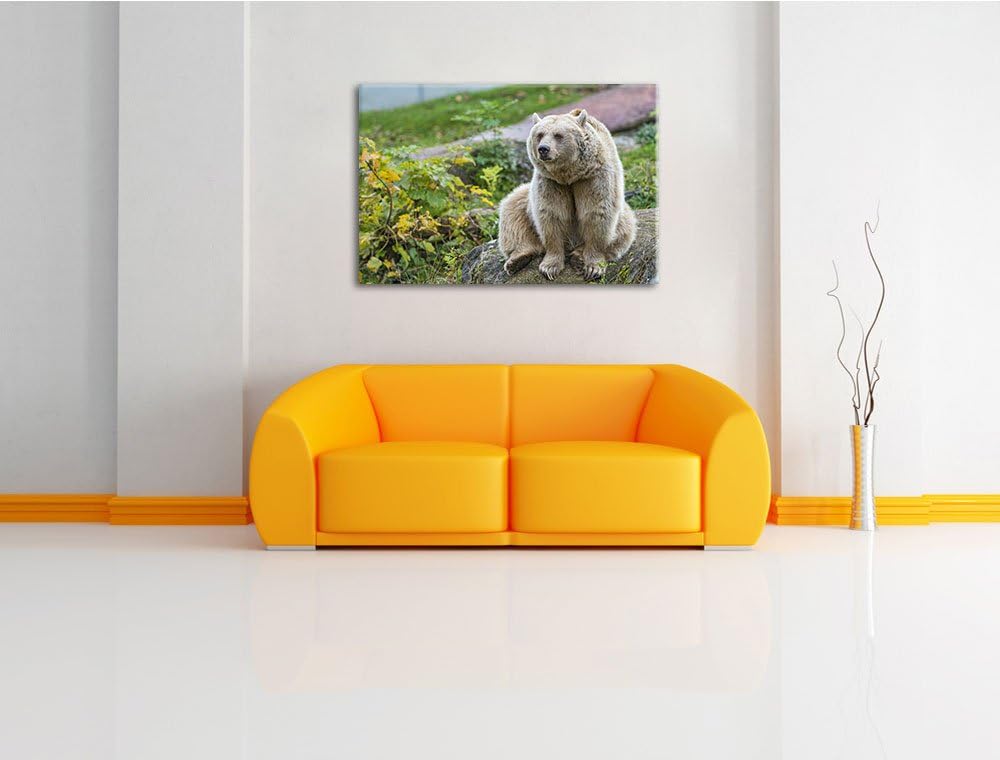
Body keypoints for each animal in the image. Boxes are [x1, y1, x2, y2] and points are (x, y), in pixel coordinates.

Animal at [497, 108, 637, 281]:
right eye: (540, 135)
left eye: (558, 135)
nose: (543, 149)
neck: (570, 175)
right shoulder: (551, 183)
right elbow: (552, 215)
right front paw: (549, 267)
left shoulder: (594, 178)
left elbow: (597, 213)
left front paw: (593, 267)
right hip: (524, 200)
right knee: (512, 213)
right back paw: (517, 260)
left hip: (623, 215)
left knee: (623, 230)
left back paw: (578, 257)